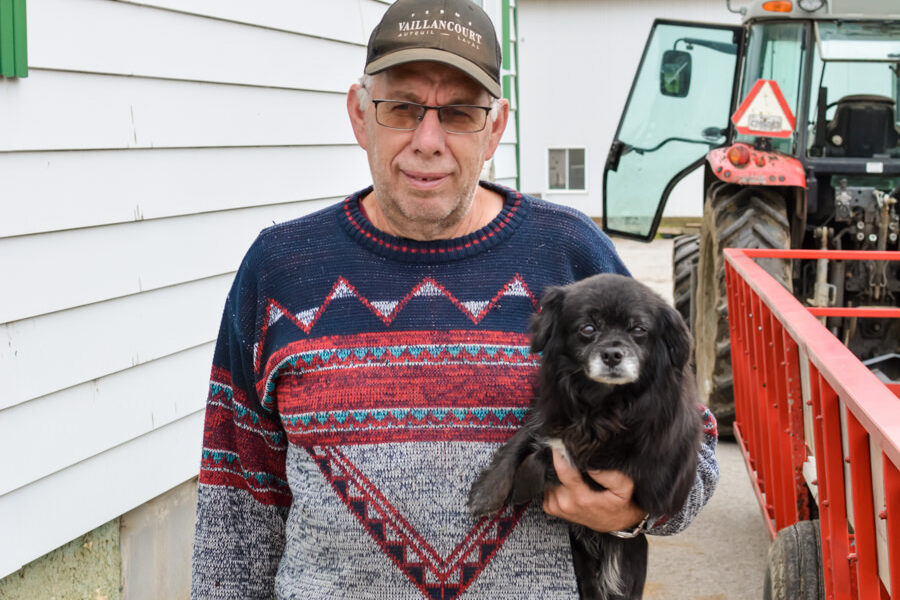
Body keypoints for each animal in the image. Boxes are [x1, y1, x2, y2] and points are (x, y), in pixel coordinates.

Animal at [468, 274, 700, 600]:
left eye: (639, 330)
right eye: (588, 328)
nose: (613, 354)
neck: (600, 403)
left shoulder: (619, 467)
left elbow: (548, 456)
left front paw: (522, 485)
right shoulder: (551, 412)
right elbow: (525, 437)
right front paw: (486, 491)